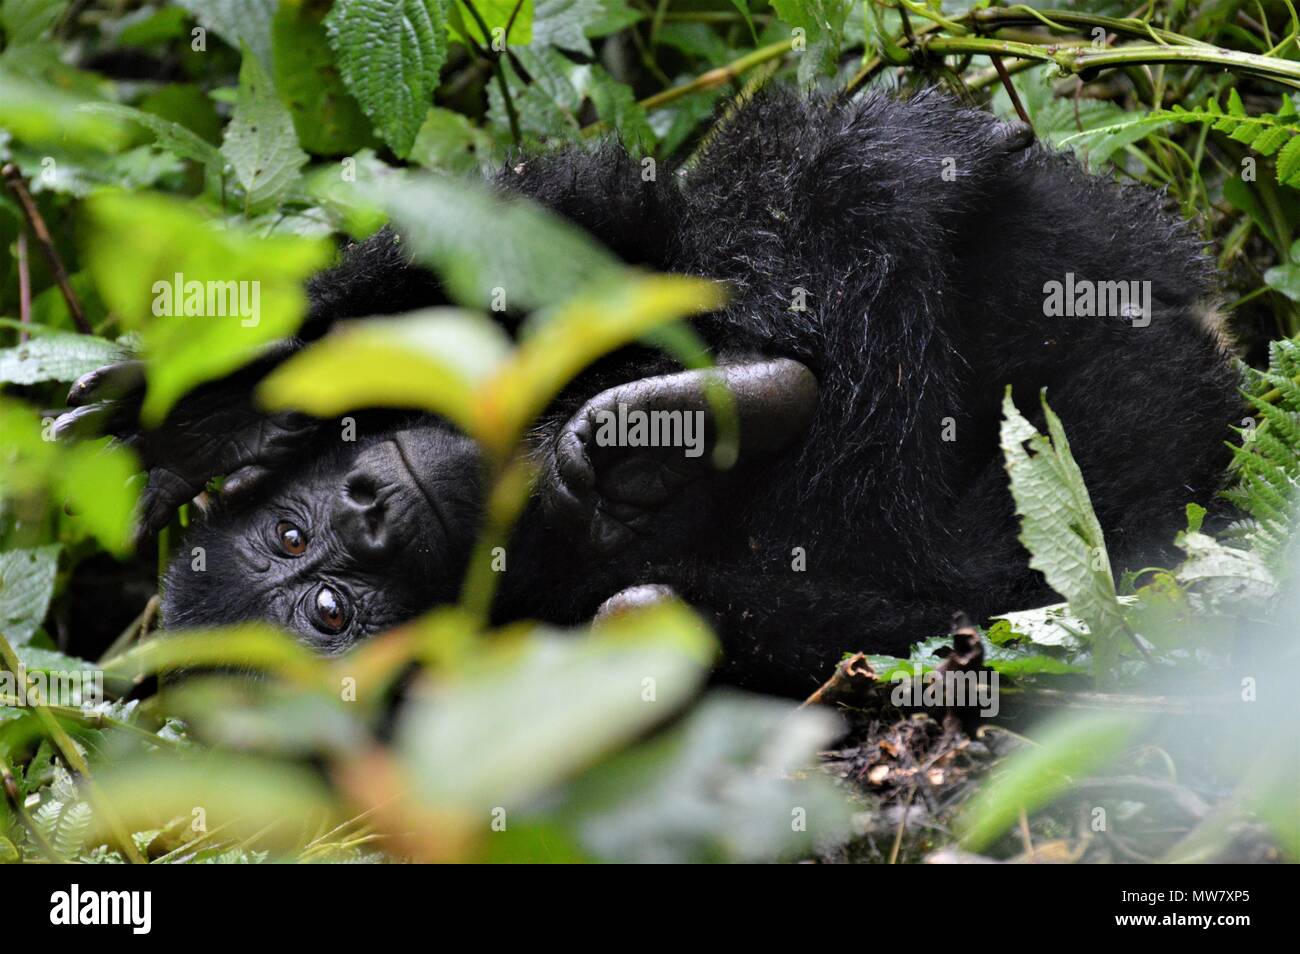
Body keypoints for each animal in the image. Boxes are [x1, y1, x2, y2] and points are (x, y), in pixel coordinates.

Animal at [58, 93, 1237, 696]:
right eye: (331, 611)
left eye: (295, 539)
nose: (365, 509)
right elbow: (904, 596)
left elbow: (577, 221)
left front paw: (210, 415)